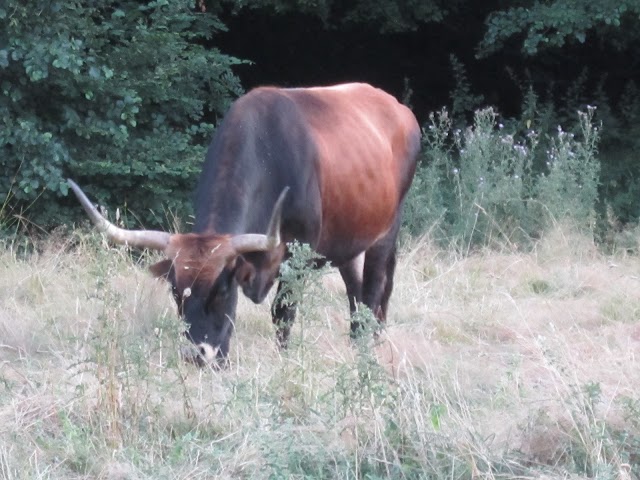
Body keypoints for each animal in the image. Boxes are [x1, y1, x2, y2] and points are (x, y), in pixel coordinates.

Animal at [70, 82, 420, 368]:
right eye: (175, 290)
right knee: (355, 290)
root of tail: (400, 109)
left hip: (386, 231)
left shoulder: (299, 256)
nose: (197, 356)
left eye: (223, 289)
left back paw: (368, 344)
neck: (269, 151)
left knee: (375, 288)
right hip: (348, 239)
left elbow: (282, 313)